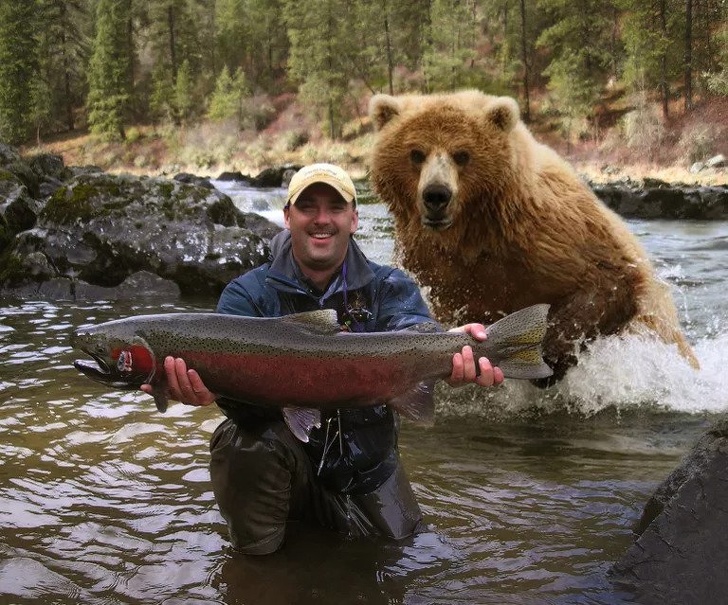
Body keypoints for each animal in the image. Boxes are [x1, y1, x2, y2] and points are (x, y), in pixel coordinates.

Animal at [370, 88, 700, 382]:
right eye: (416, 153)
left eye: (462, 154)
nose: (436, 195)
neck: (472, 233)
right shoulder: (430, 262)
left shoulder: (551, 234)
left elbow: (610, 279)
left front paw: (547, 354)